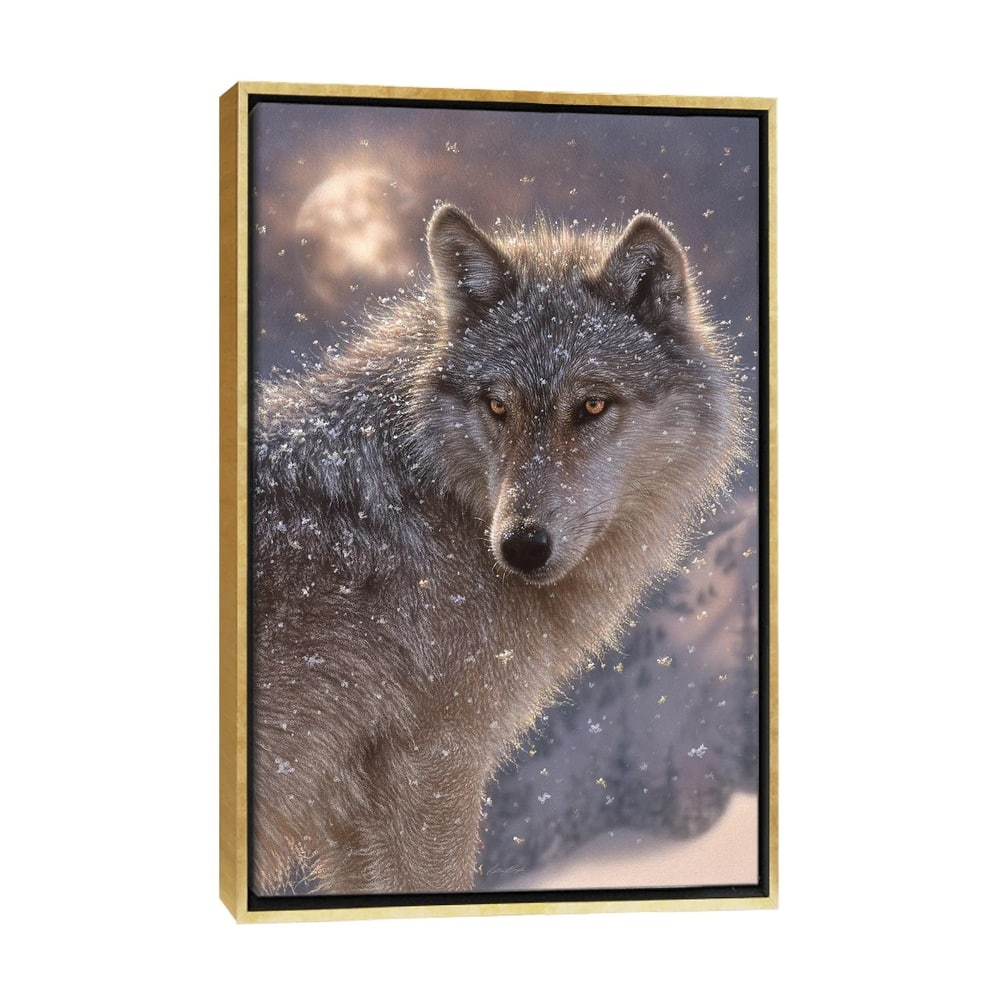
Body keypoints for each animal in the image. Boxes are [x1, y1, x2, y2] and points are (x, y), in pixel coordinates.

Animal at [251, 204, 746, 895]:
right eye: (497, 405)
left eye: (592, 405)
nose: (521, 547)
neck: (436, 495)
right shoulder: (436, 765)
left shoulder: (355, 815)